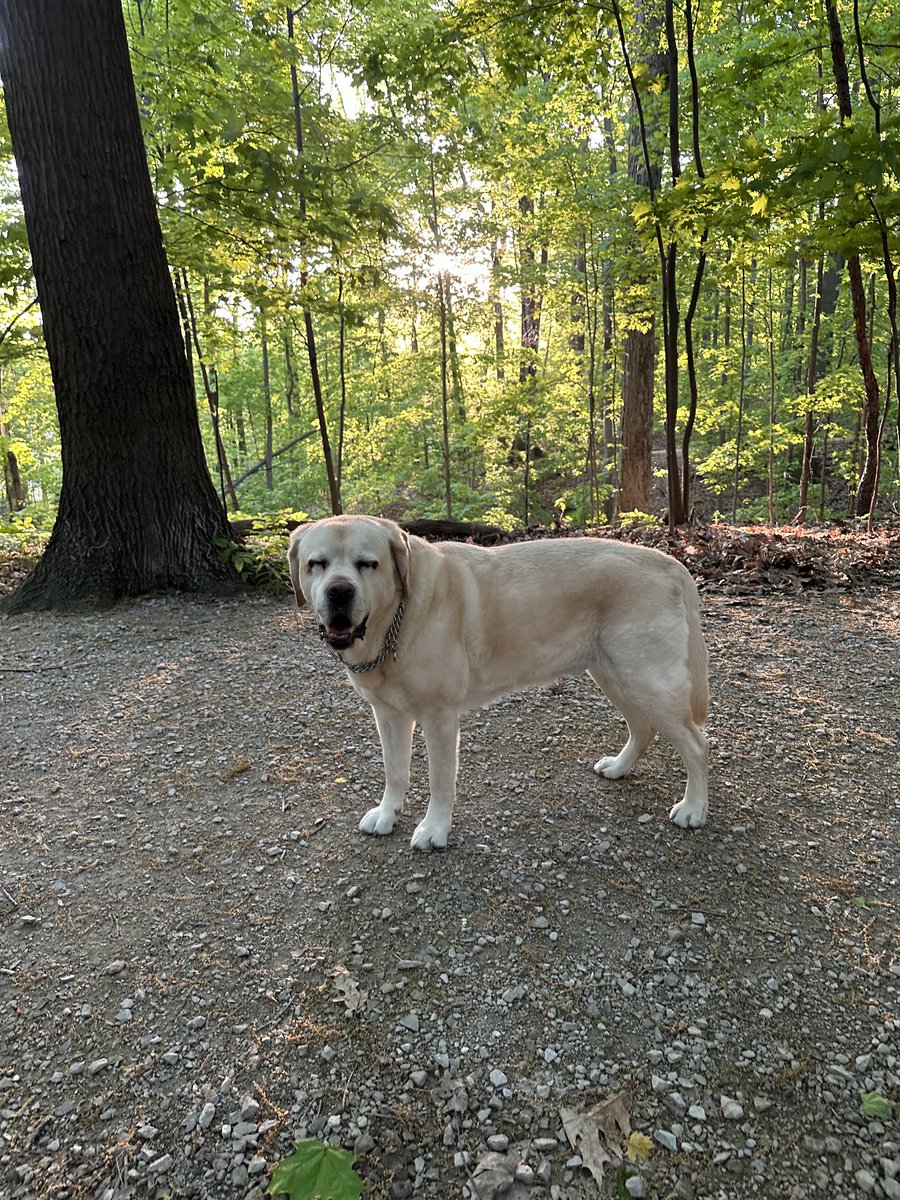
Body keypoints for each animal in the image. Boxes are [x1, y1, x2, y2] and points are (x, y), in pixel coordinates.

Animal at [289, 516, 710, 854]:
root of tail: (669, 562)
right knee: (643, 728)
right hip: (613, 674)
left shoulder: (439, 718)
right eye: (316, 564)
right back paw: (620, 767)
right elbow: (395, 771)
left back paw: (693, 808)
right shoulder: (389, 714)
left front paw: (434, 829)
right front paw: (387, 813)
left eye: (368, 564)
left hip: (647, 680)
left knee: (697, 744)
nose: (339, 591)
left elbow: (441, 781)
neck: (396, 619)